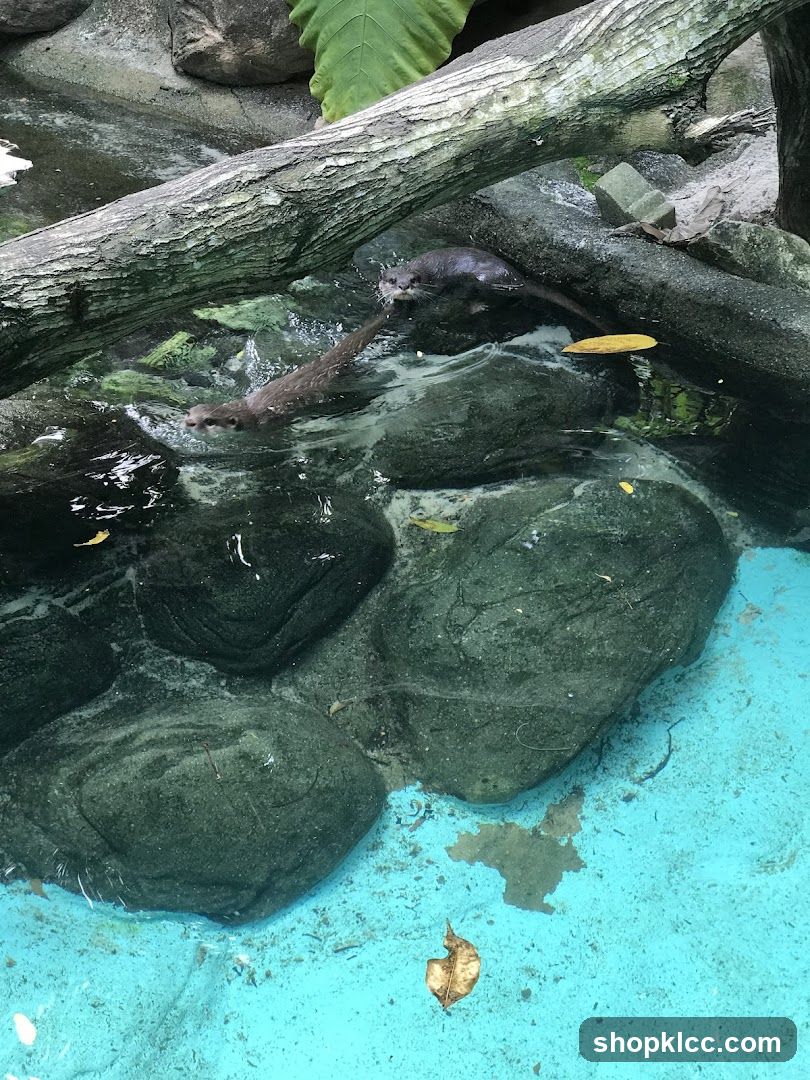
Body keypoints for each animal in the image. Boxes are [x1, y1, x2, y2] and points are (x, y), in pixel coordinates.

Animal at [378, 246, 606, 331]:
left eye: (413, 280)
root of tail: (518, 277)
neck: (424, 273)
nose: (404, 286)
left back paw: (477, 306)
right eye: (392, 280)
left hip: (487, 279)